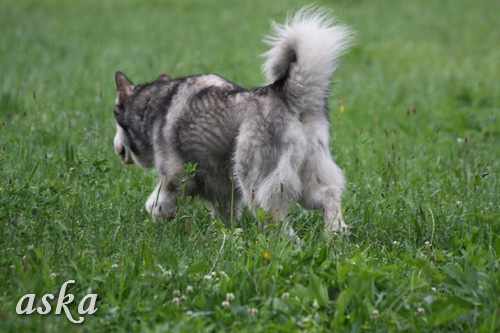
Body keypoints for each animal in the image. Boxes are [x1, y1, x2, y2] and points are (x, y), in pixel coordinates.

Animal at [112, 7, 352, 241]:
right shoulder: (224, 193)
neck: (155, 103)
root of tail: (285, 96)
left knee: (279, 225)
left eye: (115, 119)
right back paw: (335, 232)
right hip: (306, 182)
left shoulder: (175, 176)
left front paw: (157, 223)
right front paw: (224, 234)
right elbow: (223, 216)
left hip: (256, 184)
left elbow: (156, 205)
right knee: (330, 194)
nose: (115, 148)